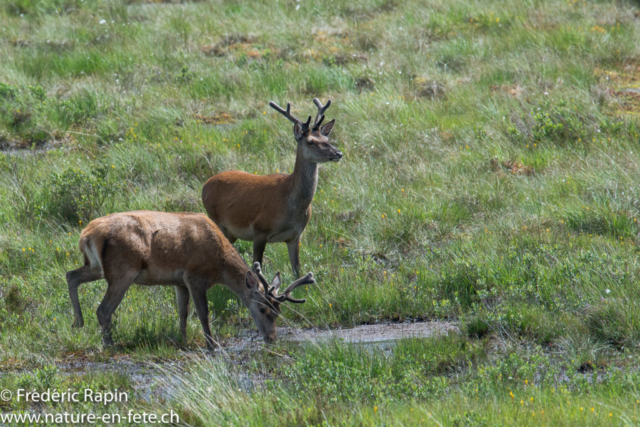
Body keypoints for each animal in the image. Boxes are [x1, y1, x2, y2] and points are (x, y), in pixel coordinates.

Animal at [65, 211, 316, 348]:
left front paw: (182, 338)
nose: (272, 339)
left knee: (71, 275)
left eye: (278, 312)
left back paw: (78, 322)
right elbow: (203, 313)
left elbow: (183, 312)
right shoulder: (194, 276)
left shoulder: (179, 282)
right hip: (122, 270)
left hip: (96, 267)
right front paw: (212, 344)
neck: (219, 265)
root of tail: (87, 234)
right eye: (263, 309)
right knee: (103, 309)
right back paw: (109, 343)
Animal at [202, 98, 342, 278]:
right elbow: (257, 267)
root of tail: (205, 185)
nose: (338, 153)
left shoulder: (295, 236)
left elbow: (297, 270)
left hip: (231, 232)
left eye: (327, 139)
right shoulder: (260, 229)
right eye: (311, 141)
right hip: (215, 219)